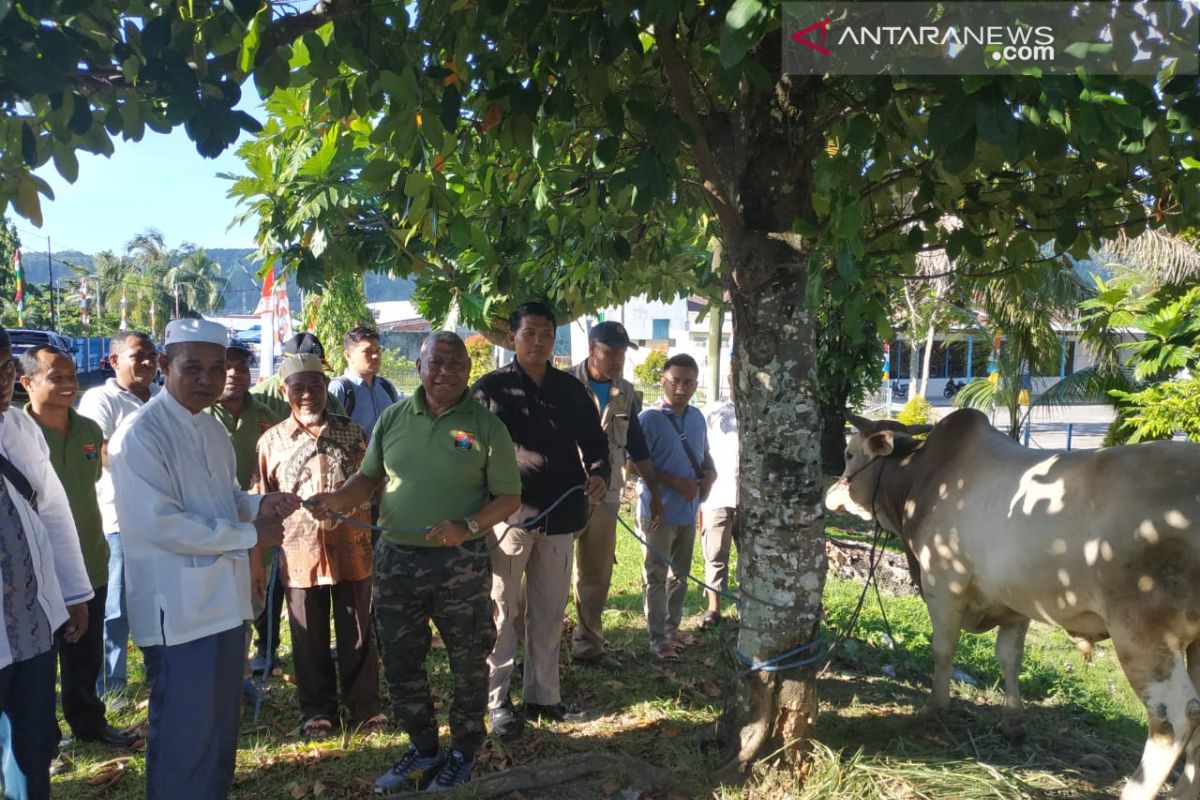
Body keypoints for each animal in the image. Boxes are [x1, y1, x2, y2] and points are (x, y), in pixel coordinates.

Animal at [830, 412, 1200, 800]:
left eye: (849, 453)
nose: (831, 493)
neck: (921, 477)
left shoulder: (942, 586)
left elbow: (943, 650)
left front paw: (935, 707)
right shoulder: (1016, 604)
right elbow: (1009, 658)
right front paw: (1012, 722)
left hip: (1141, 630)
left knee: (1176, 718)